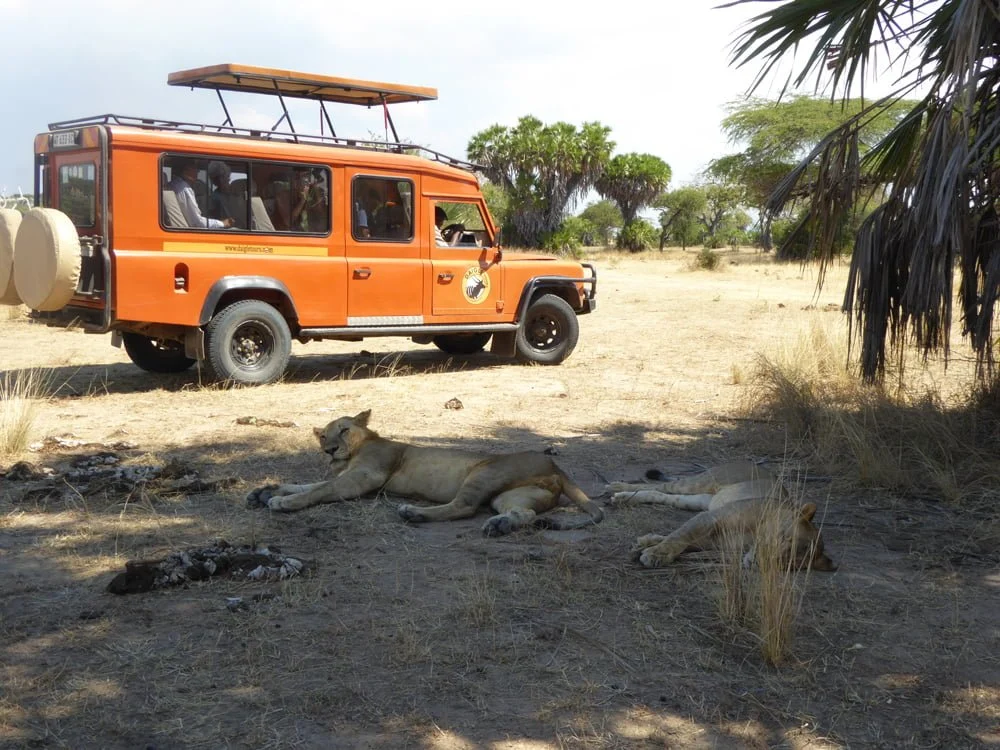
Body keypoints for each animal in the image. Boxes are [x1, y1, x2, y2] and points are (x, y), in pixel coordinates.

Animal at [246, 410, 604, 536]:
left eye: (344, 430)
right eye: (323, 436)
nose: (329, 449)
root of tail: (555, 465)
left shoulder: (366, 477)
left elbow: (318, 490)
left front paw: (281, 502)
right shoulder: (344, 475)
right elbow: (307, 483)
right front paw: (265, 491)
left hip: (483, 473)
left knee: (463, 507)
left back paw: (413, 512)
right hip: (511, 495)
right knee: (523, 514)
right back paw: (501, 525)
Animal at [607, 461, 836, 571]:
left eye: (789, 561)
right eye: (784, 537)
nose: (757, 561)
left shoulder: (714, 540)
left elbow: (679, 540)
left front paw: (646, 543)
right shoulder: (710, 518)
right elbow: (678, 536)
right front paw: (654, 554)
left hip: (700, 499)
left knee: (662, 495)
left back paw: (624, 498)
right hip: (700, 482)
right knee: (659, 486)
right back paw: (617, 488)